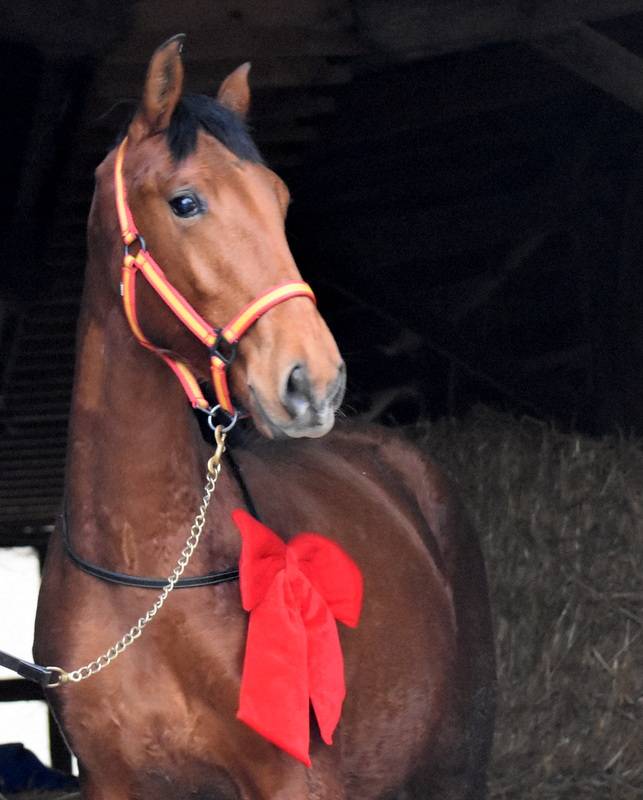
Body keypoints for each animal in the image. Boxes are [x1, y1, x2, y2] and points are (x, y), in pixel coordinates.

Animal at [34, 35, 496, 800]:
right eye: (185, 202)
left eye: (278, 201)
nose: (315, 381)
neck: (151, 573)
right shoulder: (110, 782)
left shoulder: (292, 780)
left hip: (455, 765)